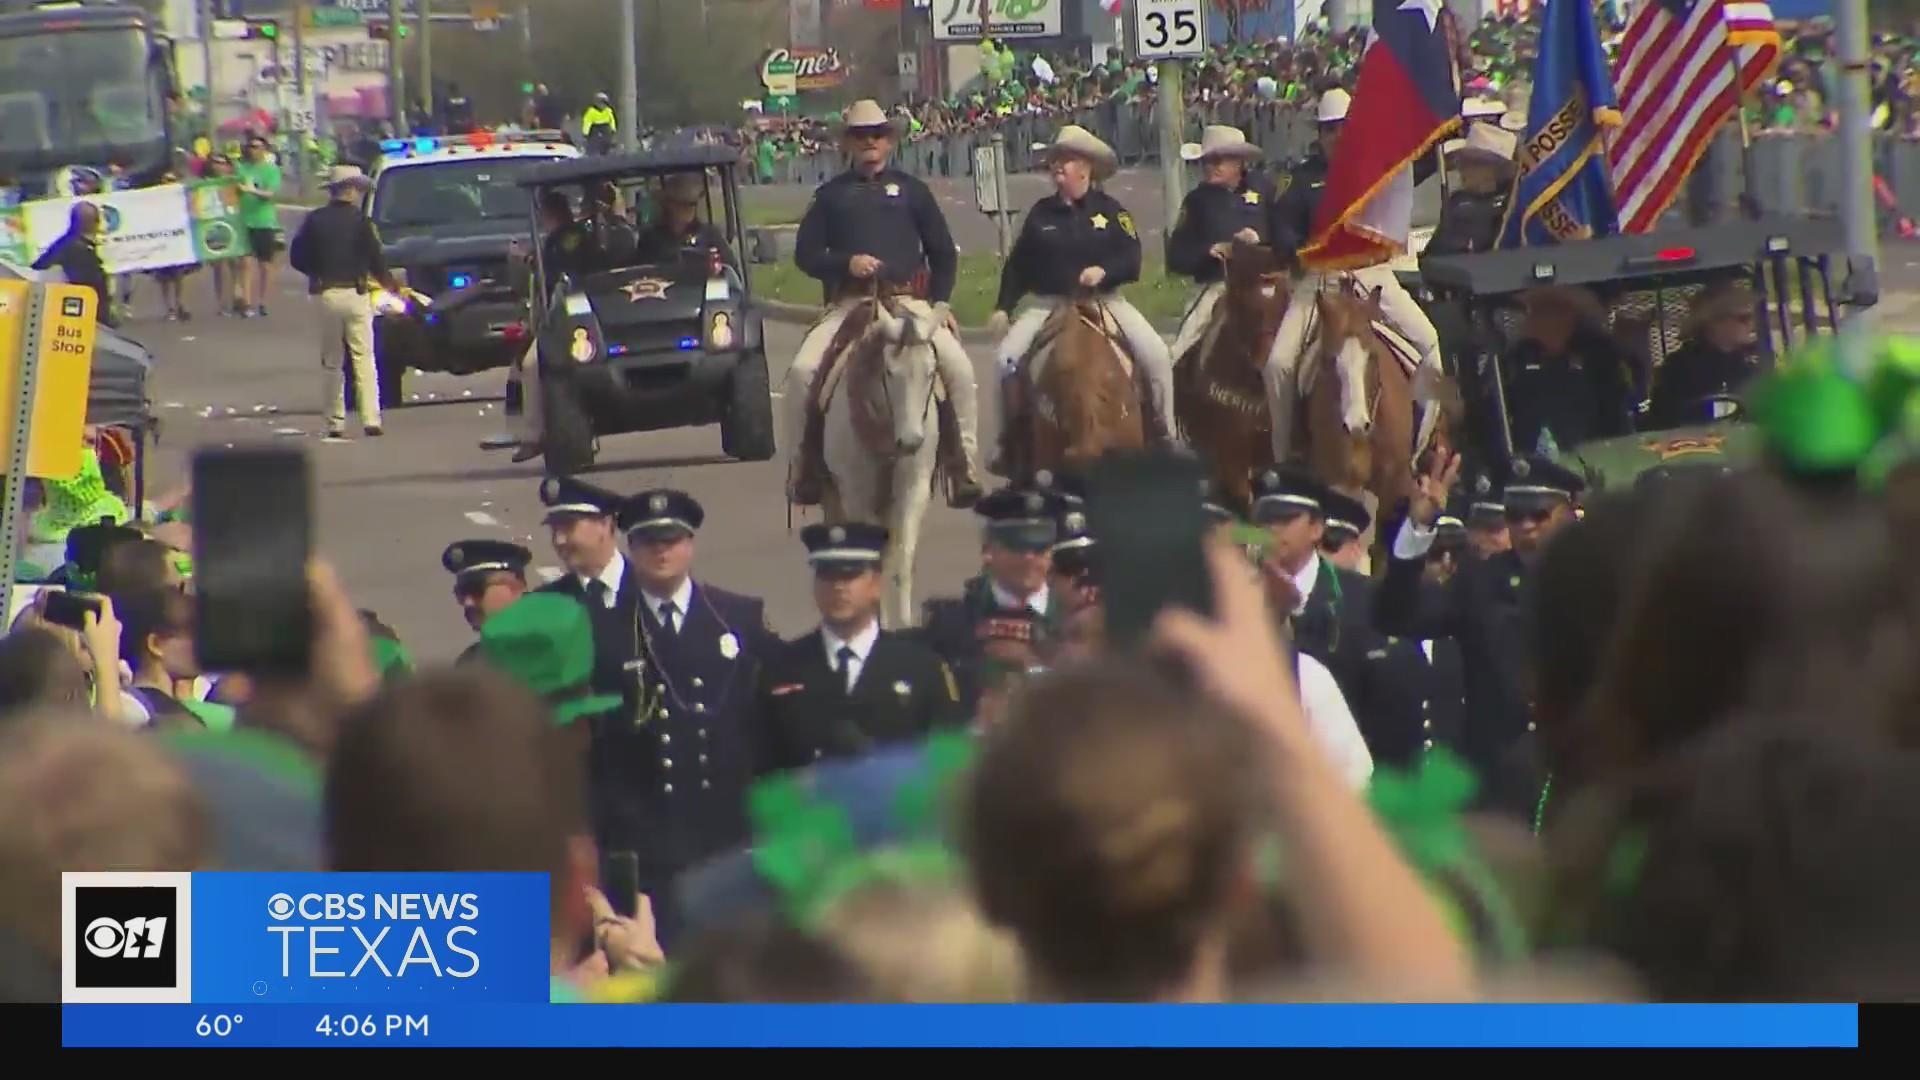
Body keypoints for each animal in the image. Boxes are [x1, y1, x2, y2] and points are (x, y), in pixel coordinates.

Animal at [817, 295, 944, 630]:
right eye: (889, 372)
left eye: (931, 372)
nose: (911, 442)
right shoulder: (856, 497)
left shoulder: (913, 491)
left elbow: (902, 562)